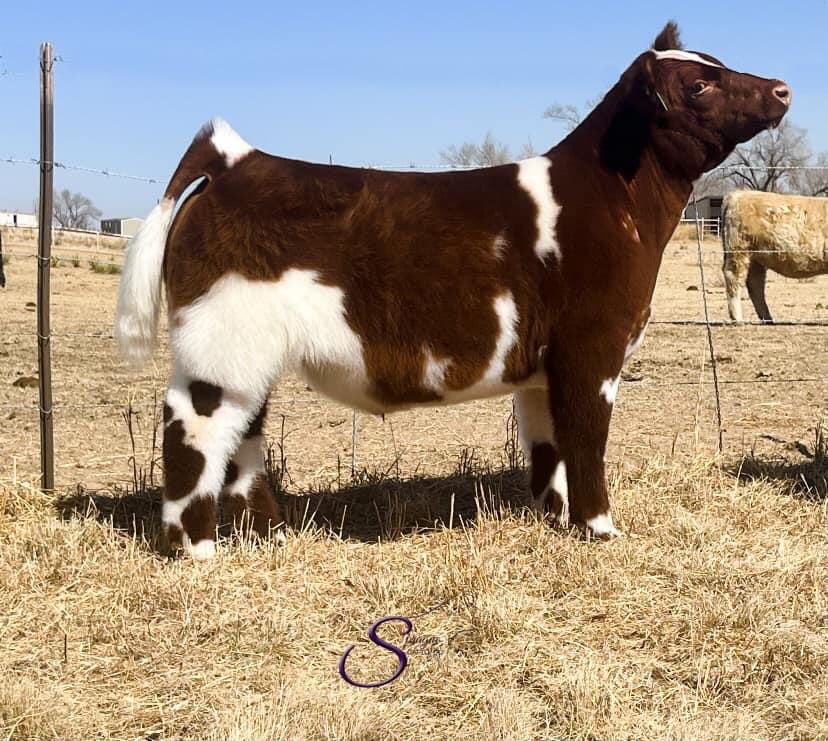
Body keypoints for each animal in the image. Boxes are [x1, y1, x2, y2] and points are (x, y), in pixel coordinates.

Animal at [115, 22, 790, 559]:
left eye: (720, 62)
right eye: (698, 85)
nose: (782, 89)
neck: (612, 199)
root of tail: (240, 159)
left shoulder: (543, 364)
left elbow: (546, 442)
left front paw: (552, 518)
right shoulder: (591, 346)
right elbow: (586, 437)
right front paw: (599, 528)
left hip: (249, 351)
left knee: (244, 437)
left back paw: (270, 535)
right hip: (221, 343)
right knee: (191, 426)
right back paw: (197, 549)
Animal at [722, 190, 828, 322]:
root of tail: (737, 195)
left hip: (756, 259)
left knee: (755, 284)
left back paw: (767, 318)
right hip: (739, 250)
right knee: (734, 278)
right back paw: (738, 318)